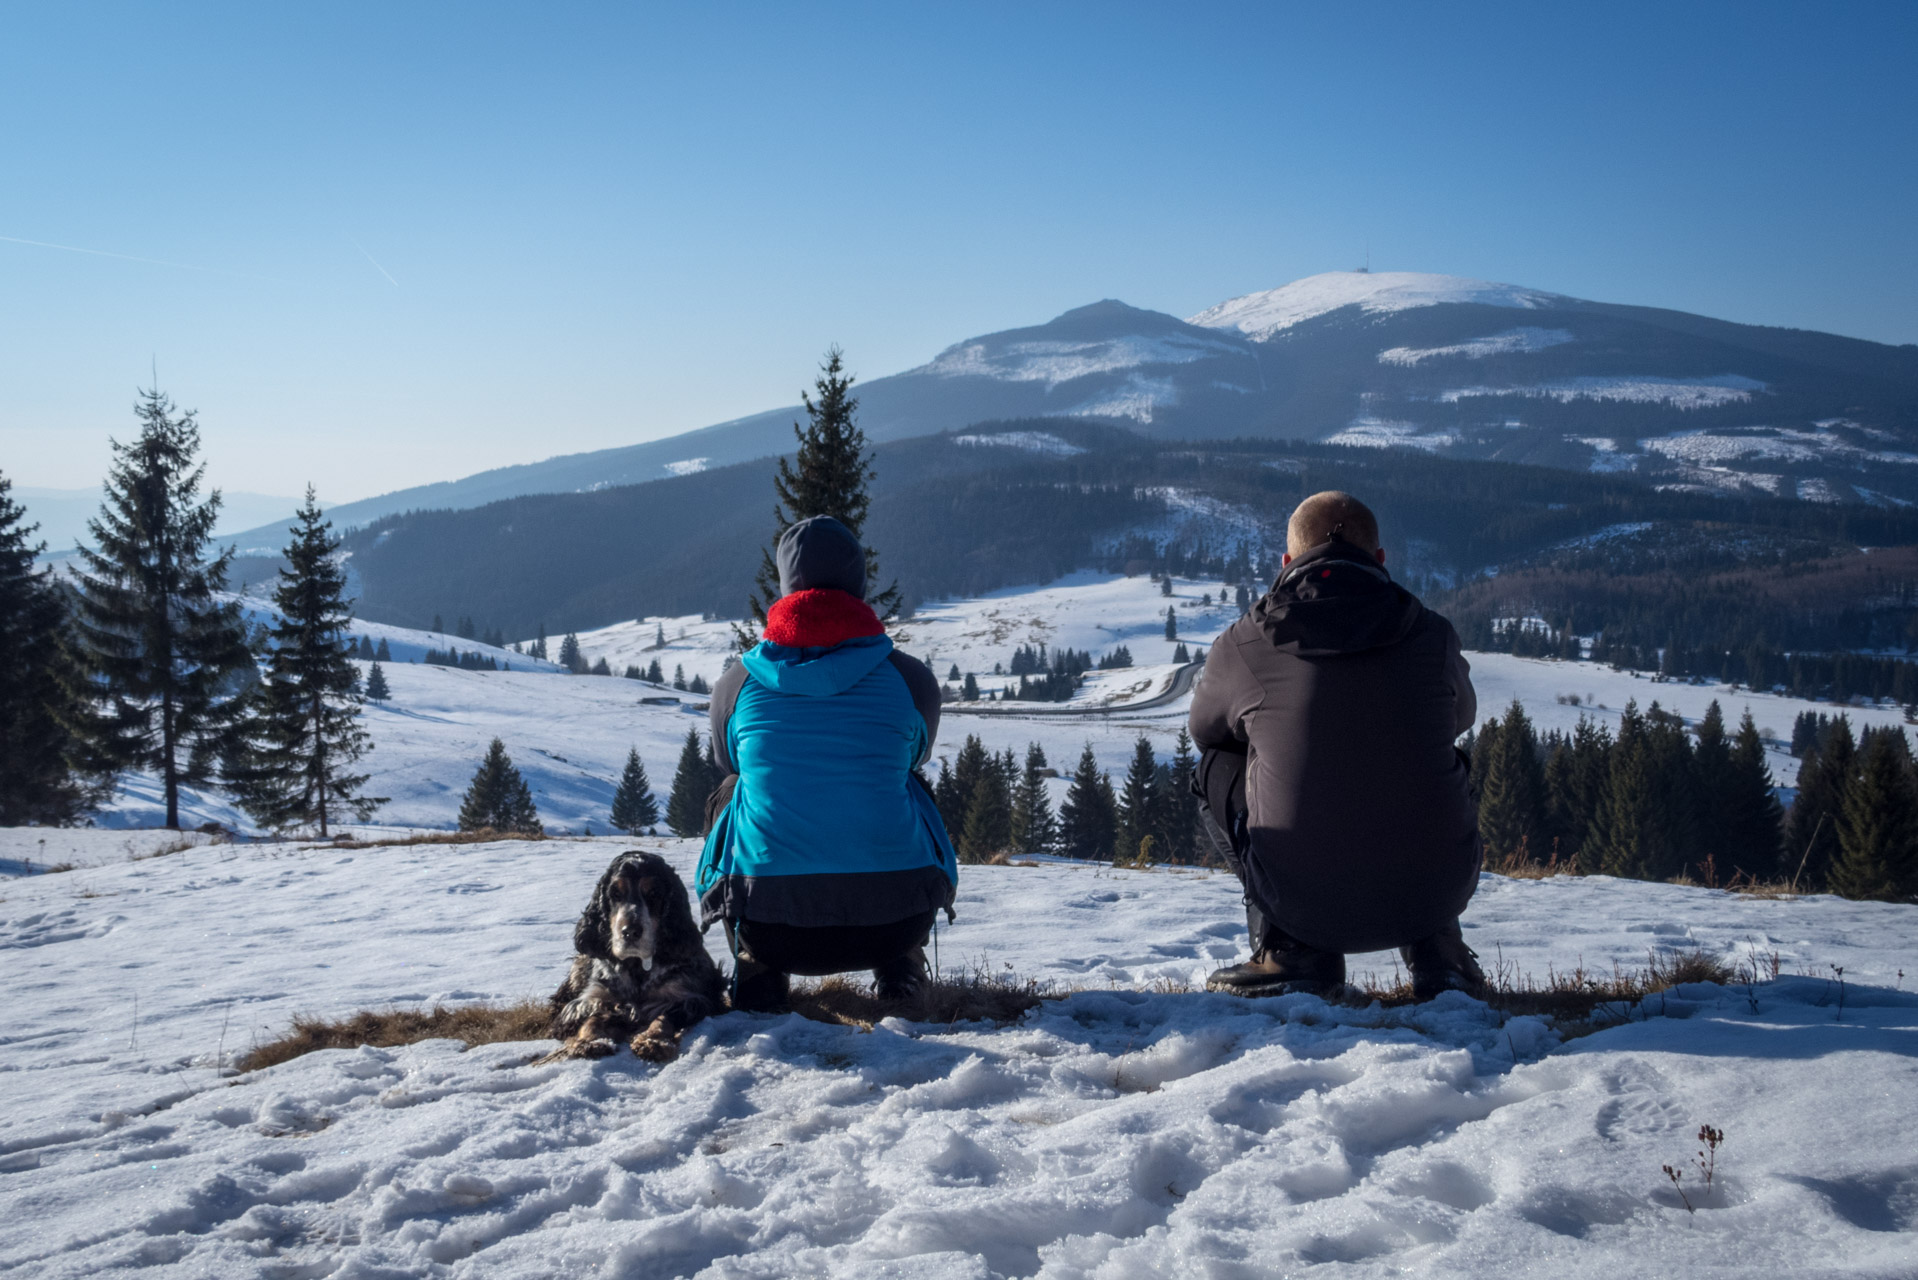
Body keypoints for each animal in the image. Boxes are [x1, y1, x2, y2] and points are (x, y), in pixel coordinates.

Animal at [544, 852, 721, 1059]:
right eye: (615, 894)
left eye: (654, 893)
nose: (630, 932)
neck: (637, 966)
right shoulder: (593, 999)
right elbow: (591, 1019)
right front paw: (590, 1042)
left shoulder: (688, 999)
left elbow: (663, 1018)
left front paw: (653, 1041)